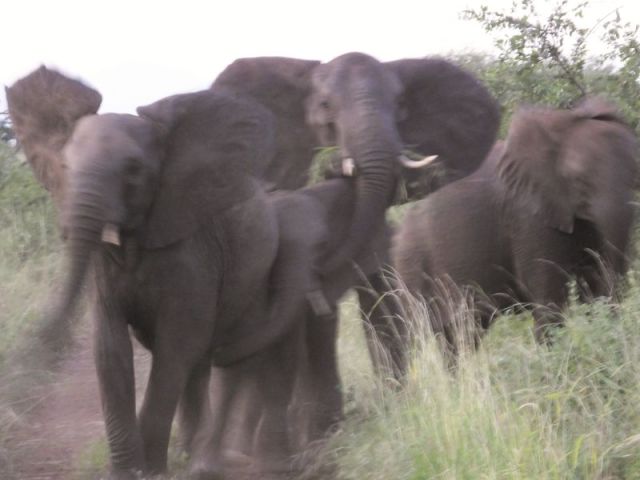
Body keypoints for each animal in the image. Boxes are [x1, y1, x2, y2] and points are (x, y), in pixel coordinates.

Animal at [6, 67, 334, 479]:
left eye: (133, 171)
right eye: (65, 167)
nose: (38, 341)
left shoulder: (192, 249)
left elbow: (176, 343)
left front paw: (151, 472)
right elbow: (110, 345)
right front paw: (127, 472)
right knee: (204, 363)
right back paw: (195, 455)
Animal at [392, 98, 638, 349]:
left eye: (636, 173)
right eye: (578, 179)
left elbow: (593, 284)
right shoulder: (528, 216)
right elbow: (549, 299)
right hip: (412, 267)